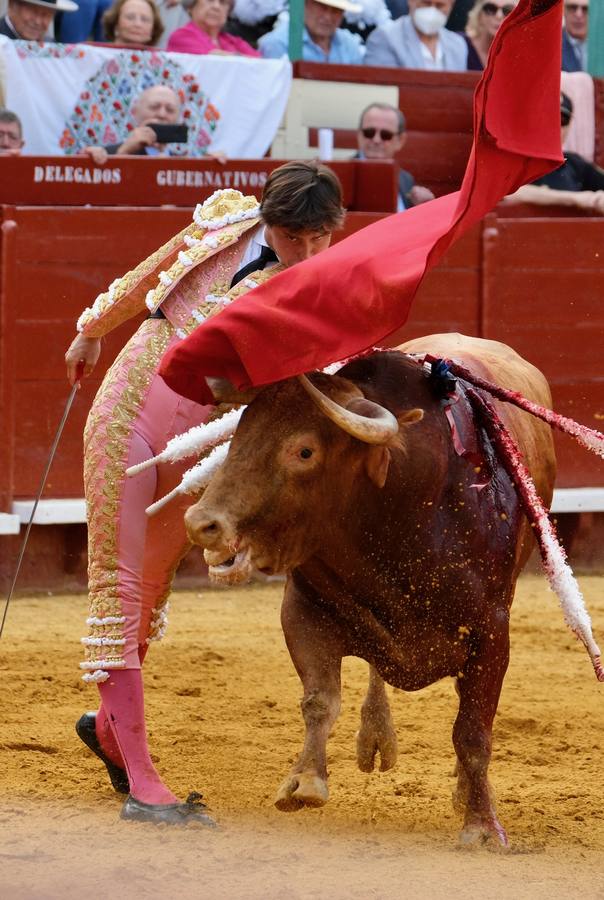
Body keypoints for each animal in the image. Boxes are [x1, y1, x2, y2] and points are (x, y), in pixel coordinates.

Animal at [185, 334, 556, 848]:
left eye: (305, 452)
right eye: (239, 435)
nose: (202, 523)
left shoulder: (490, 634)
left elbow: (473, 732)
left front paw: (481, 825)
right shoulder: (303, 609)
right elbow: (320, 700)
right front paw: (304, 781)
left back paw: (463, 791)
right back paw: (376, 737)